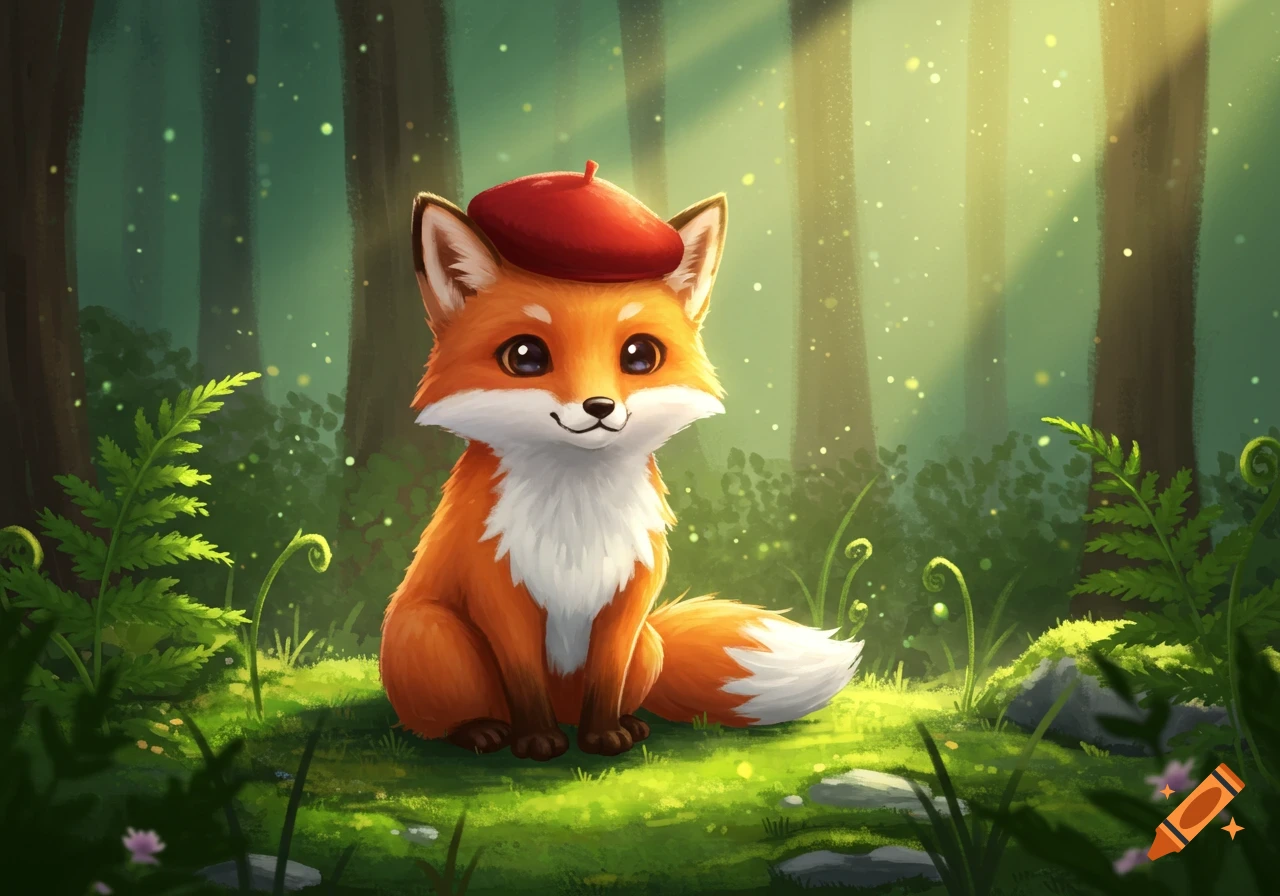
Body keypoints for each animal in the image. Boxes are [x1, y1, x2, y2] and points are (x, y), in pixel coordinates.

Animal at [380, 176, 863, 761]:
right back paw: (482, 731)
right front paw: (537, 741)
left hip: (649, 644)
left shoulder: (630, 593)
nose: (599, 407)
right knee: (449, 716)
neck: (575, 516)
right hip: (432, 633)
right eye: (525, 356)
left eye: (639, 355)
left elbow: (607, 677)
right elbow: (523, 679)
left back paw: (626, 723)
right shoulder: (499, 588)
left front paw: (605, 736)